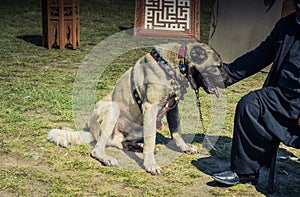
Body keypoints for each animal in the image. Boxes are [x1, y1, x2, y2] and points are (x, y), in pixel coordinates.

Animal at [47, 42, 224, 175]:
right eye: (217, 67)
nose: (228, 80)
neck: (174, 65)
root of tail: (90, 131)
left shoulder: (173, 107)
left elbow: (176, 131)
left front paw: (185, 148)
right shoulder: (151, 108)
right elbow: (152, 139)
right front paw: (150, 164)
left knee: (122, 143)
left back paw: (138, 147)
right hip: (114, 110)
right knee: (98, 149)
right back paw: (109, 157)